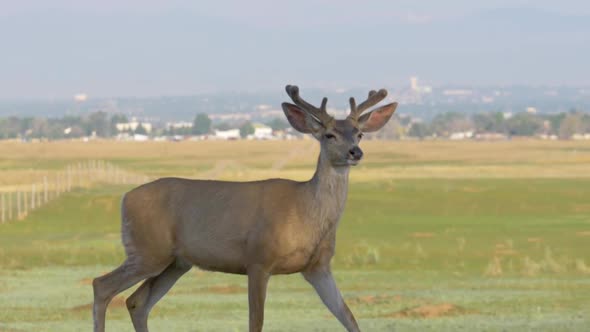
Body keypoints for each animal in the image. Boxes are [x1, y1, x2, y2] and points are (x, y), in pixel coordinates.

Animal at [93, 84, 398, 330]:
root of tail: (125, 199)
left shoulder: (318, 267)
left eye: (359, 134)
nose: (355, 152)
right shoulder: (258, 259)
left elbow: (349, 317)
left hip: (175, 262)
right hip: (148, 250)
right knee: (102, 286)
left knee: (137, 302)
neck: (305, 212)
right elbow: (256, 322)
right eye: (329, 135)